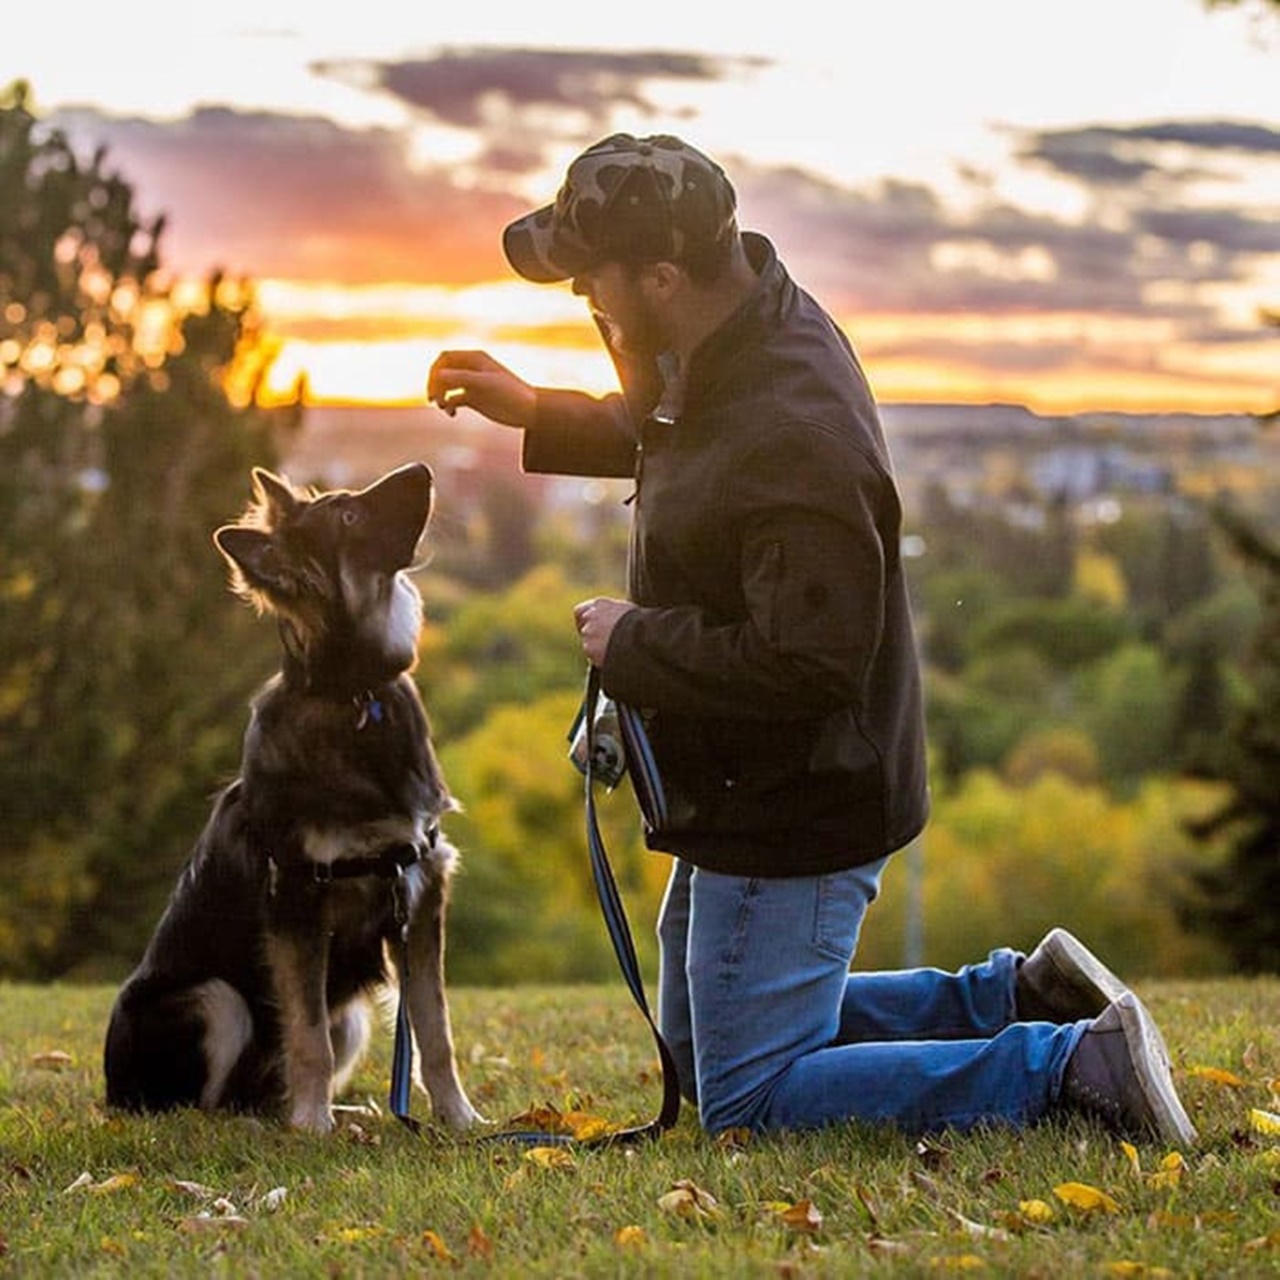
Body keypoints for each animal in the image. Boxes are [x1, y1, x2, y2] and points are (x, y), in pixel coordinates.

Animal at [104, 460, 481, 1131]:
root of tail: (111, 1095)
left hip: (349, 1014)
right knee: (203, 1106)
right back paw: (275, 1123)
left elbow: (435, 1031)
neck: (357, 694)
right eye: (349, 516)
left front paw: (460, 1121)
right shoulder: (299, 902)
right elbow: (307, 1036)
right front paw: (311, 1128)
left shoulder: (418, 896)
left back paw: (343, 1113)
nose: (424, 467)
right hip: (215, 999)